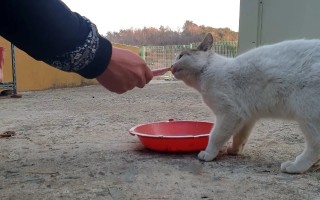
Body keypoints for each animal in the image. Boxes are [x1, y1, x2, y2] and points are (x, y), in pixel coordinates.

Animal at [171, 33, 320, 173]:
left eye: (181, 56)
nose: (171, 65)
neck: (206, 71)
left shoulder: (230, 113)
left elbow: (216, 136)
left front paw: (208, 153)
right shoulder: (247, 118)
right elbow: (240, 137)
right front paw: (234, 150)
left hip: (307, 114)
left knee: (315, 145)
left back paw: (295, 166)